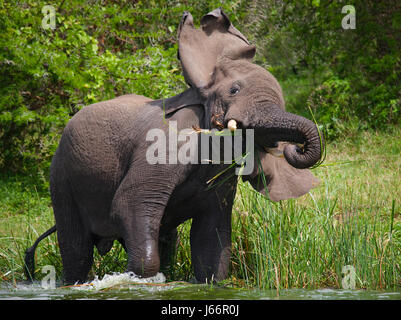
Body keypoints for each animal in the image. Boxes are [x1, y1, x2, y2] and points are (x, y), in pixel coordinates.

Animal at [25, 8, 324, 284]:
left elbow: (212, 240)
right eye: (234, 90)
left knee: (165, 239)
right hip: (61, 177)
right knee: (78, 250)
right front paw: (141, 281)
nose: (294, 148)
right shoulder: (164, 146)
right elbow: (128, 204)